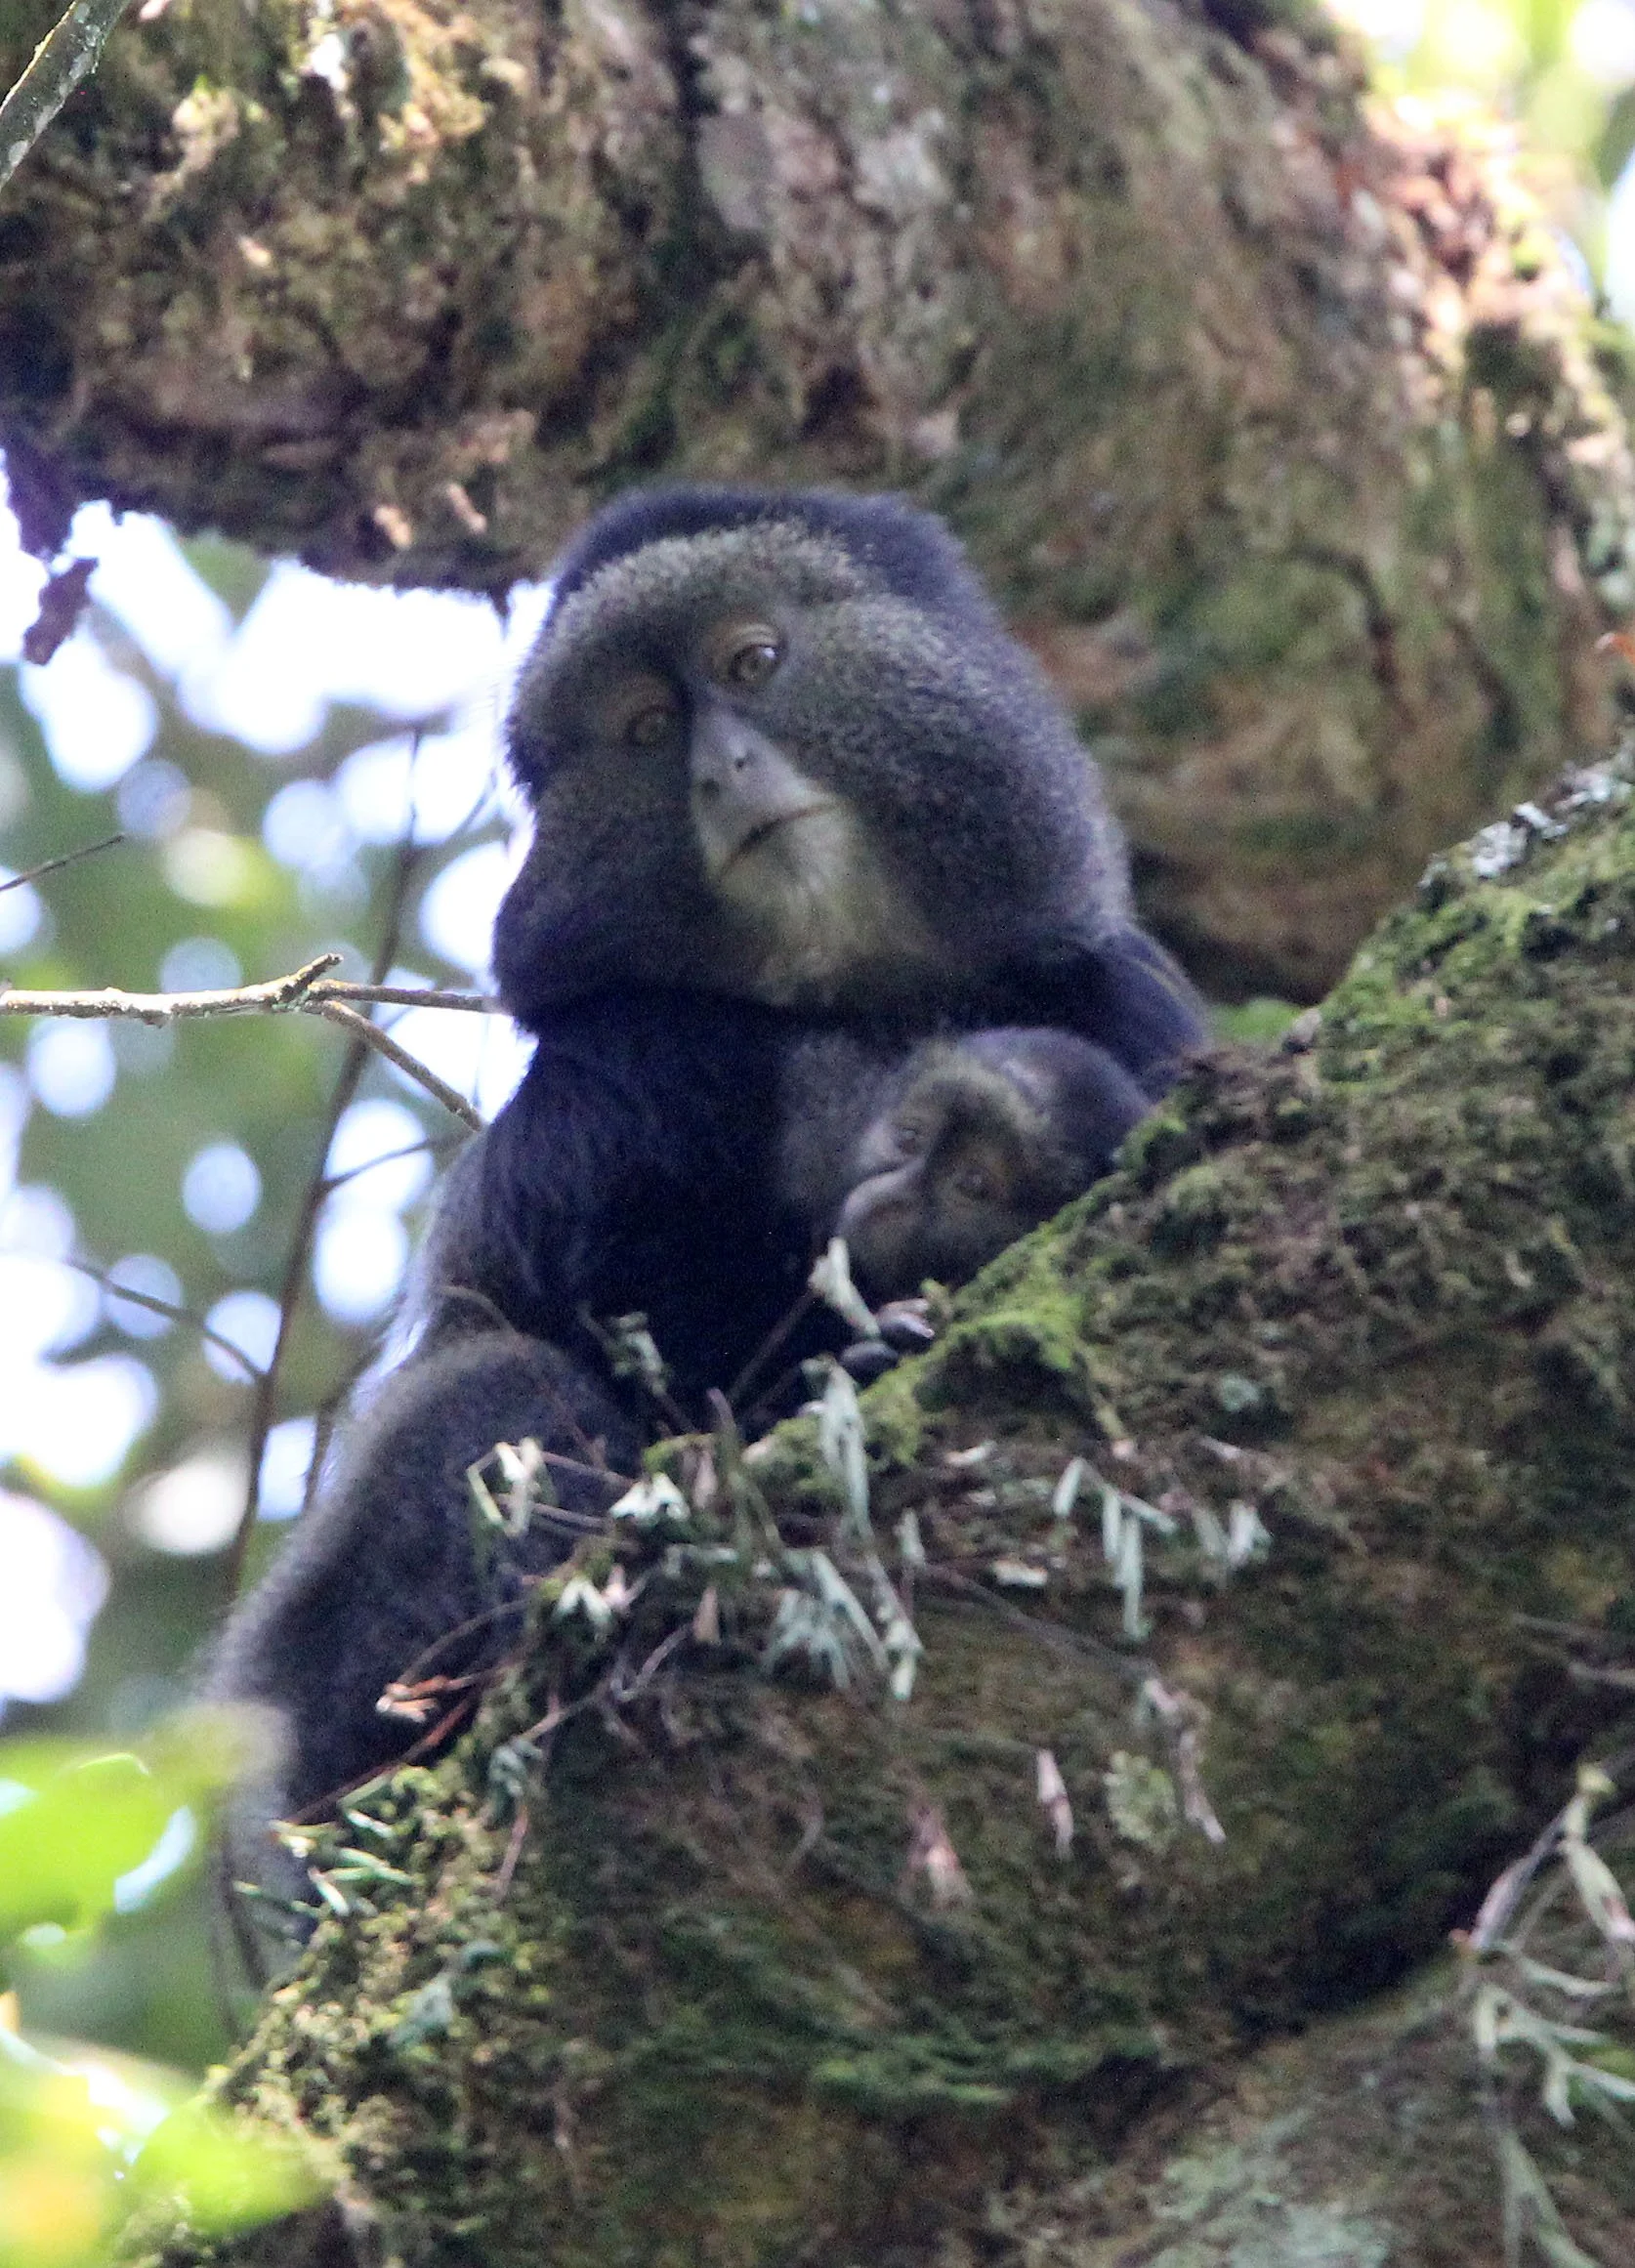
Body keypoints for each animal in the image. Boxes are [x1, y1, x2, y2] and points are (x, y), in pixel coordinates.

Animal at [209, 485, 1207, 1844]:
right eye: (647, 727)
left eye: (754, 664)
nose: (718, 768)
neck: (841, 1000)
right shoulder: (613, 1077)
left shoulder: (1122, 992)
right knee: (492, 1391)